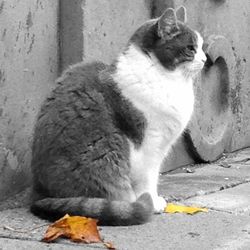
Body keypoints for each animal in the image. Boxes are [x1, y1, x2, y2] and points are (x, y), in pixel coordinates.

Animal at [29, 6, 205, 227]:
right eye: (191, 48)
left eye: (202, 47)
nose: (205, 59)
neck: (166, 77)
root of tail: (40, 192)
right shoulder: (151, 143)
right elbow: (149, 177)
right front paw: (153, 201)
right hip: (109, 150)